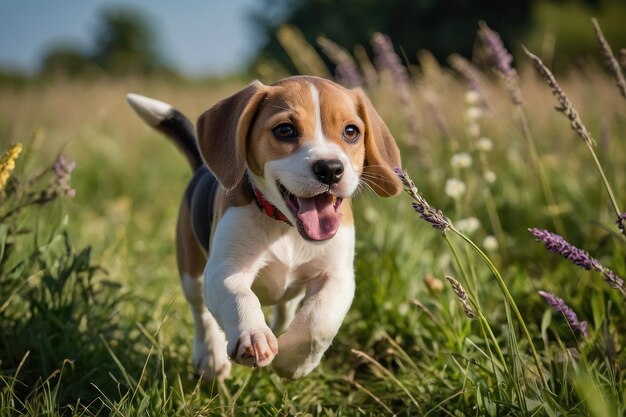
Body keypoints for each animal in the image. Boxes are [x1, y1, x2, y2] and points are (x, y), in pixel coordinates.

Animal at [126, 75, 400, 380]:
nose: (330, 169)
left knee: (287, 308)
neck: (285, 226)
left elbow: (319, 320)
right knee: (201, 313)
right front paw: (253, 335)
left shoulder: (337, 275)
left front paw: (293, 360)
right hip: (191, 272)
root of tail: (202, 166)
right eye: (285, 130)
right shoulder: (224, 269)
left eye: (351, 131)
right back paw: (211, 357)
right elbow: (240, 298)